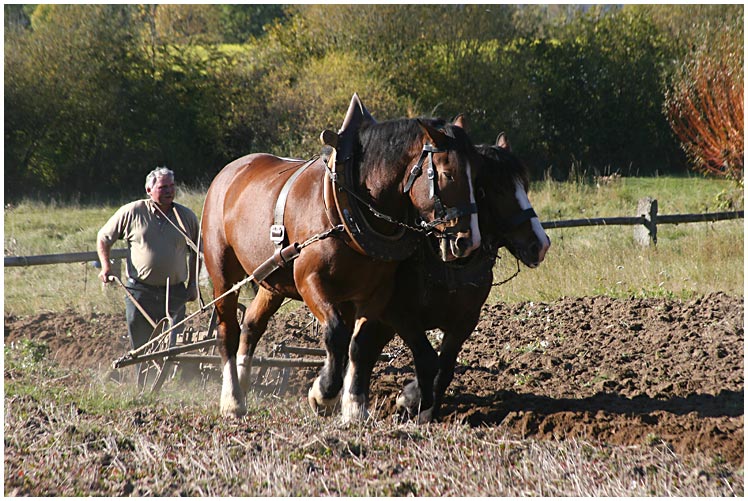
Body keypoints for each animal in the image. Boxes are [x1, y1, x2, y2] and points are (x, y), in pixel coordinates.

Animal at [200, 94, 480, 418]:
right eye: (448, 174)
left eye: (477, 176)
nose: (468, 241)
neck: (352, 204)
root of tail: (228, 172)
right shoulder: (310, 280)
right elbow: (335, 334)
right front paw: (323, 393)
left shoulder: (377, 292)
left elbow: (360, 344)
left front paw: (354, 406)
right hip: (222, 272)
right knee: (227, 332)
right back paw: (232, 399)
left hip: (272, 281)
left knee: (252, 325)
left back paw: (244, 384)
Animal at [338, 134, 548, 422]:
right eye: (495, 190)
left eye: (524, 186)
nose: (541, 244)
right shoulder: (397, 315)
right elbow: (427, 359)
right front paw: (415, 404)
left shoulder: (466, 319)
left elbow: (444, 366)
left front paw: (422, 407)